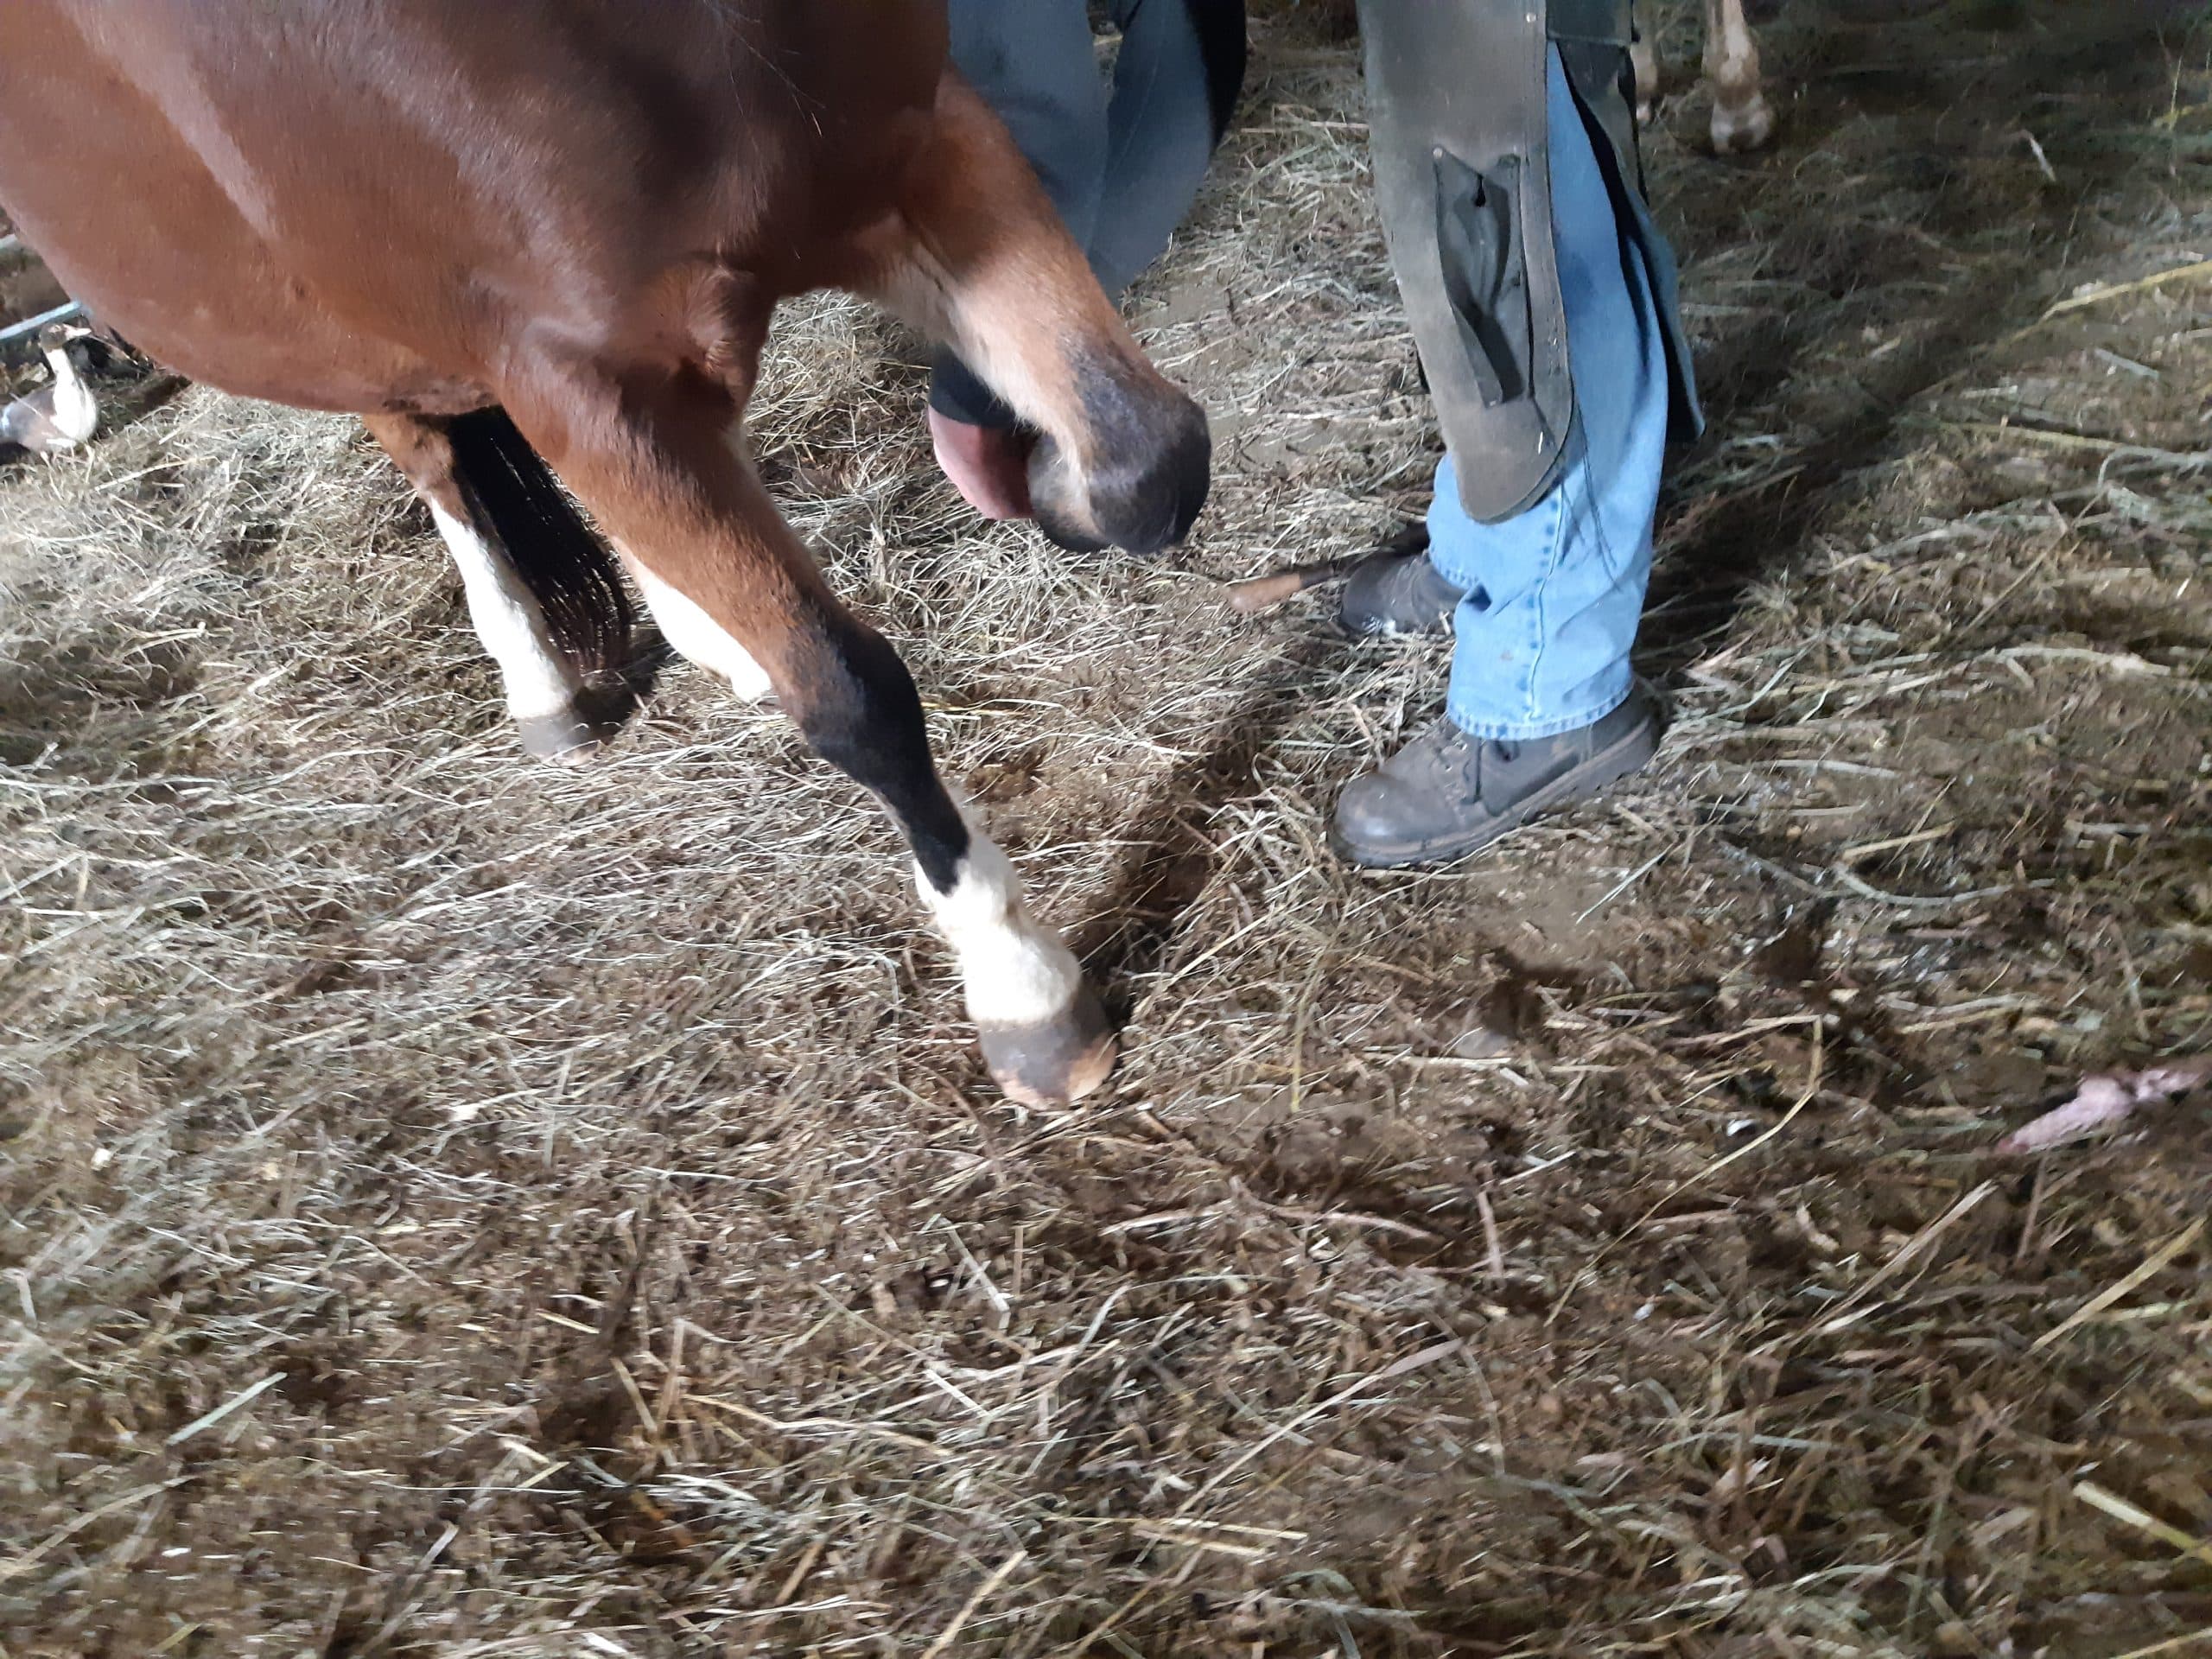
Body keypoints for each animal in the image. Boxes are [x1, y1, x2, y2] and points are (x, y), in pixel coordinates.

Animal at [0, 0, 1214, 1107]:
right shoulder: (562, 368)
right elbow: (852, 696)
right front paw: (1027, 997)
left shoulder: (917, 148)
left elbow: (1148, 463)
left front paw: (1047, 478)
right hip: (345, 336)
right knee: (433, 459)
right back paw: (546, 684)